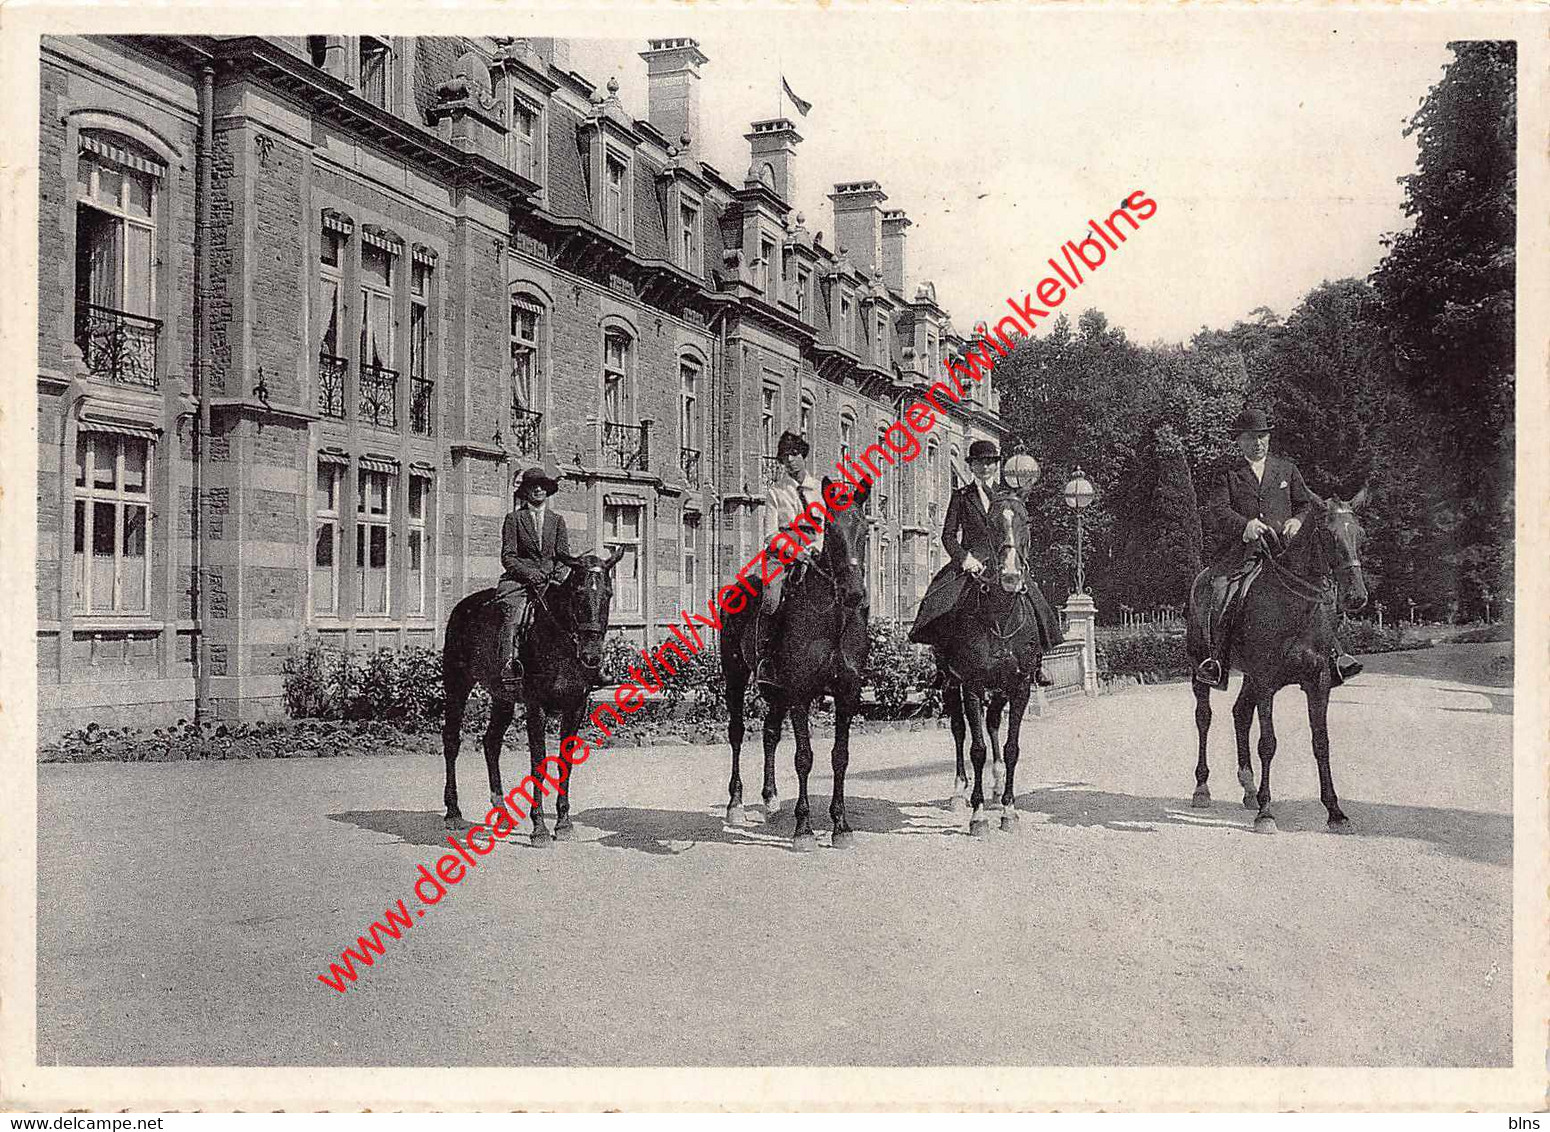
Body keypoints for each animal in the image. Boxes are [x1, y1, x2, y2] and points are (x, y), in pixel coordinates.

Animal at [443, 542, 623, 843]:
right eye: (578, 592)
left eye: (608, 594)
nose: (591, 656)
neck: (561, 640)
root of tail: (463, 606)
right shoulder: (535, 706)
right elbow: (538, 761)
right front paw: (539, 827)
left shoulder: (576, 705)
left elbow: (564, 762)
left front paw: (563, 824)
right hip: (457, 684)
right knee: (451, 741)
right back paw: (453, 812)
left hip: (502, 697)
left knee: (491, 743)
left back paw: (502, 812)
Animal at [716, 474, 874, 843]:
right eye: (831, 531)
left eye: (864, 531)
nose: (853, 594)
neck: (832, 620)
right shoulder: (801, 692)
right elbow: (804, 757)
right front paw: (804, 829)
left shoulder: (847, 693)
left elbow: (840, 756)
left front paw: (840, 825)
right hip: (735, 675)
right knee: (736, 732)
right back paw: (736, 804)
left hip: (776, 690)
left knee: (770, 733)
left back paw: (771, 800)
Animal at [930, 490, 1041, 831]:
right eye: (990, 523)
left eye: (1026, 521)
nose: (1010, 576)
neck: (1001, 618)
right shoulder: (972, 686)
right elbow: (976, 748)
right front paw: (978, 815)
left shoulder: (1019, 687)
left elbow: (1011, 747)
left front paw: (1008, 809)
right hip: (951, 684)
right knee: (959, 731)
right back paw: (959, 792)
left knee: (992, 724)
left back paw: (997, 783)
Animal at [1184, 483, 1370, 831]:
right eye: (1328, 534)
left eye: (1360, 534)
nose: (1357, 597)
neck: (1295, 605)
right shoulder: (1266, 681)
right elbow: (1267, 744)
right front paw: (1267, 812)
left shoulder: (1317, 682)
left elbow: (1321, 743)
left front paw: (1335, 811)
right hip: (1201, 669)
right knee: (1204, 718)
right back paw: (1202, 788)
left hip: (1250, 678)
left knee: (1240, 714)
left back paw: (1248, 788)